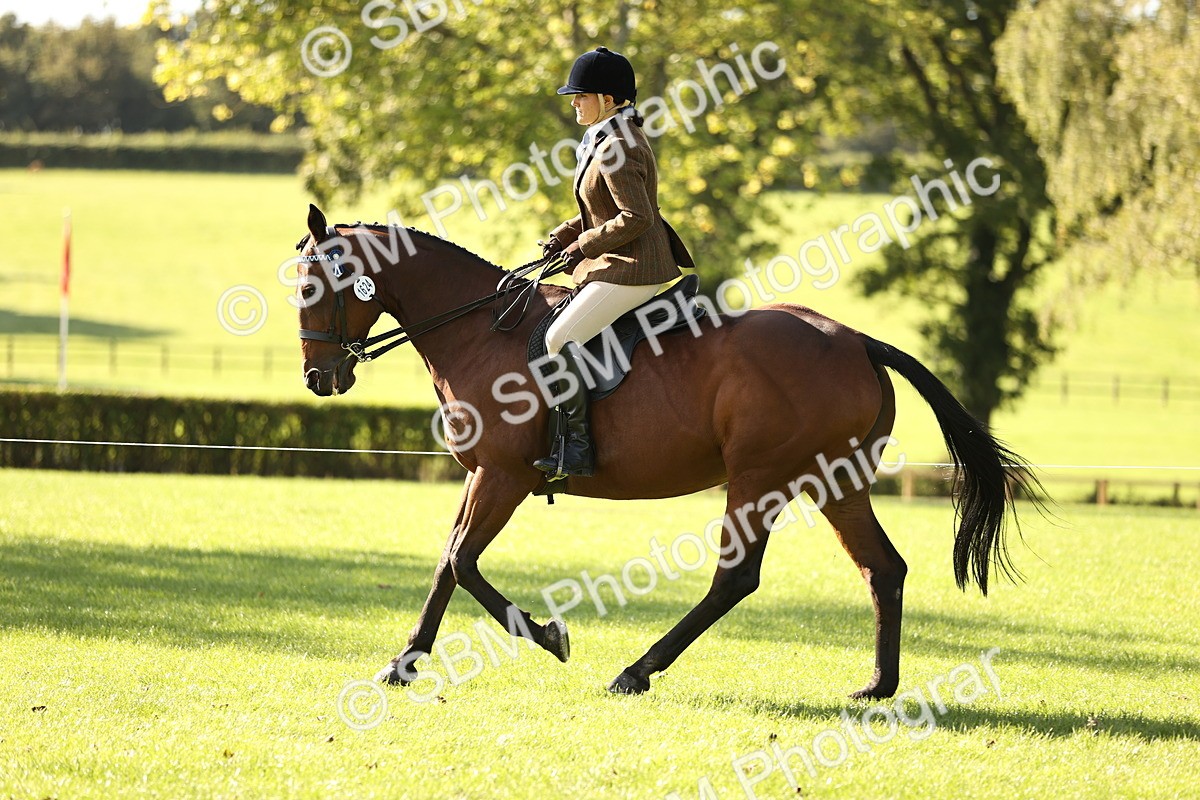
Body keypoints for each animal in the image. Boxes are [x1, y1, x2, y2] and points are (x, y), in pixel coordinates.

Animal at [293, 204, 1038, 698]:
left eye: (311, 287)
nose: (319, 379)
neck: (479, 330)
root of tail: (855, 340)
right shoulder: (483, 476)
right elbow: (448, 563)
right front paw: (404, 663)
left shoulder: (502, 476)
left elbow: (461, 562)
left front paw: (549, 636)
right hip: (837, 480)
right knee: (882, 568)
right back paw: (878, 686)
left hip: (761, 477)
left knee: (735, 579)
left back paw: (635, 671)